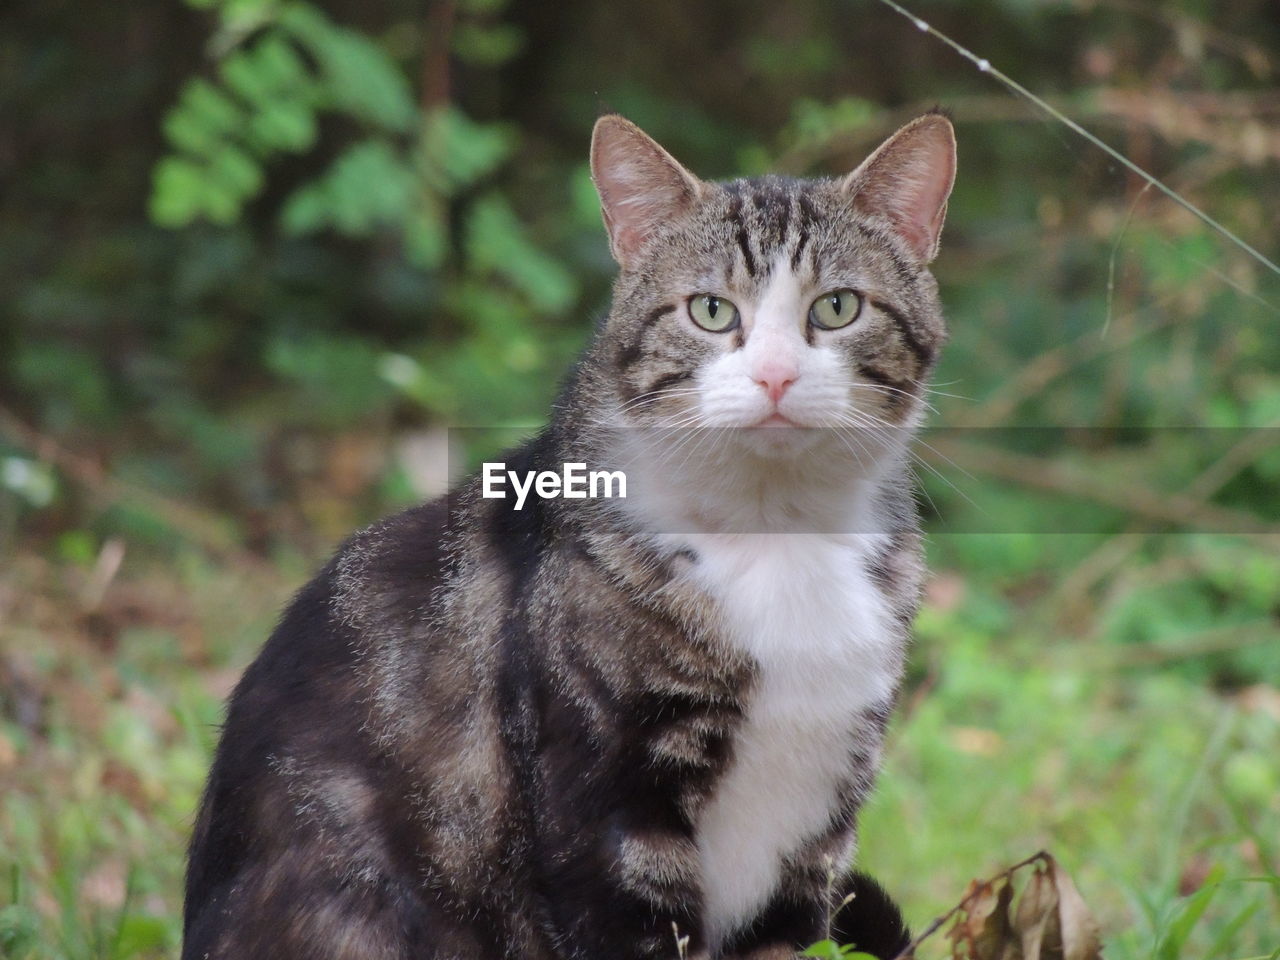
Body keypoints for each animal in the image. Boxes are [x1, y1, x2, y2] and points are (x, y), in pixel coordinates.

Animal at [185, 110, 957, 960]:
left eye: (839, 307)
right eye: (711, 311)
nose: (777, 375)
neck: (775, 534)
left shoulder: (817, 832)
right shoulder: (604, 811)